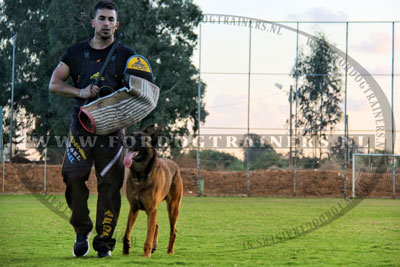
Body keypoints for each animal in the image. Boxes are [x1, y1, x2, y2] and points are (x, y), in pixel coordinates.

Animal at [122, 126, 184, 258]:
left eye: (141, 137)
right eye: (131, 134)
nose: (124, 139)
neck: (140, 175)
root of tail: (174, 164)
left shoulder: (151, 209)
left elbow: (148, 236)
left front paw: (146, 254)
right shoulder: (134, 208)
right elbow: (126, 233)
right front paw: (125, 251)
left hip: (172, 207)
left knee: (173, 230)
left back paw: (169, 251)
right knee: (156, 224)